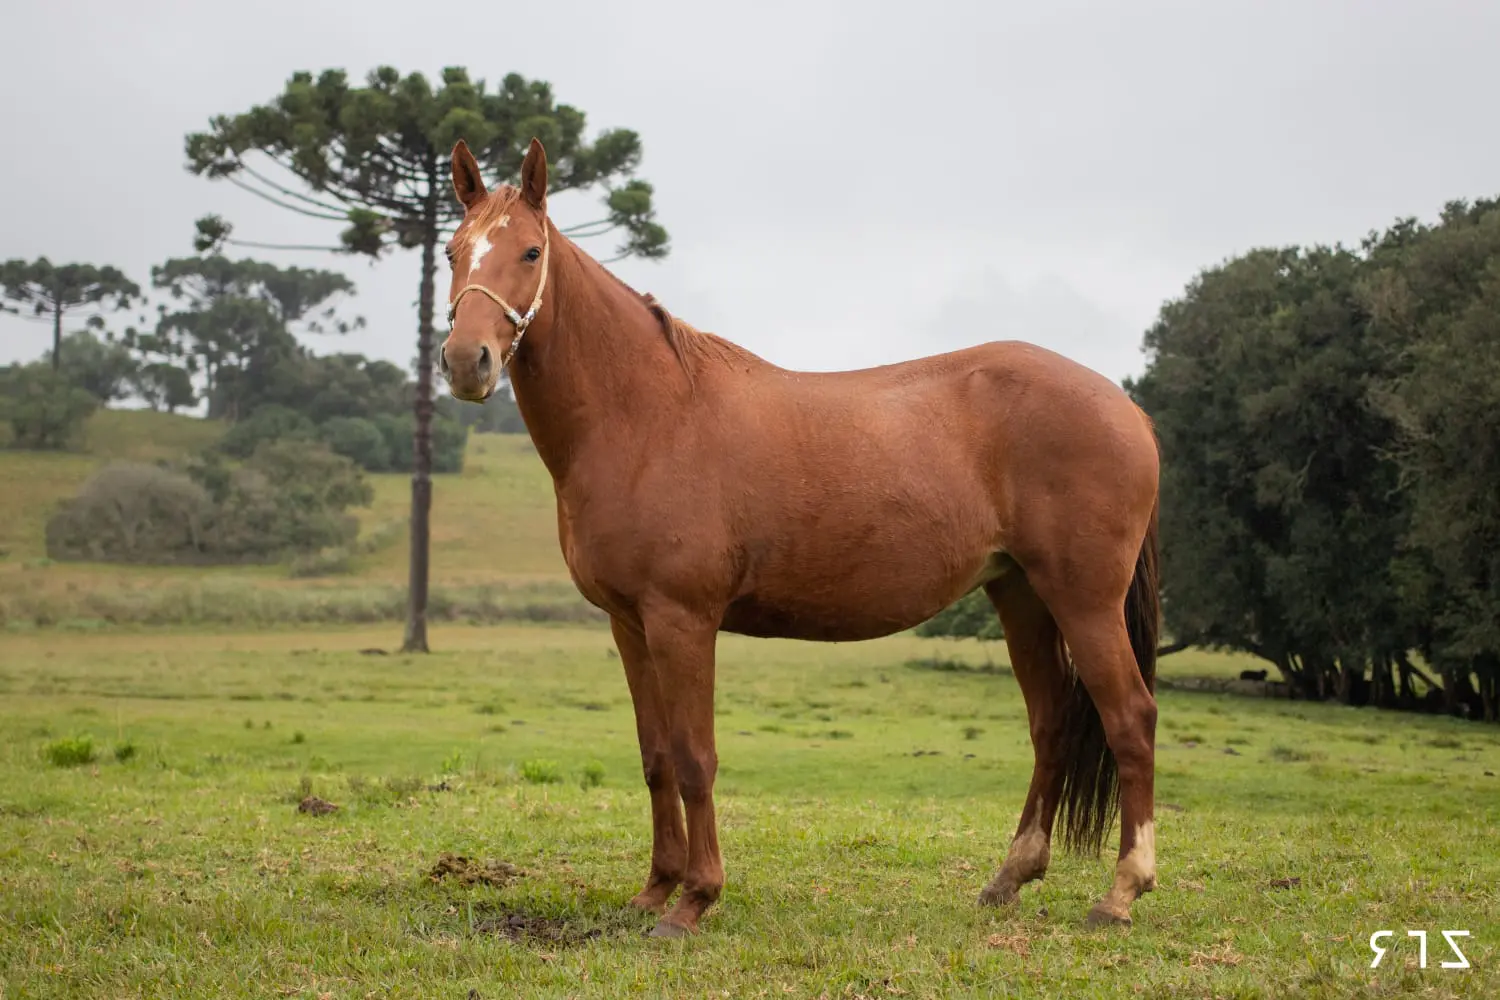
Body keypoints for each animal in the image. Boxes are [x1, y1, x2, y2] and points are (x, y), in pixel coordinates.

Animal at [438, 137, 1162, 938]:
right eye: (453, 251)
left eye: (530, 251)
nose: (466, 362)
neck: (645, 416)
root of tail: (1127, 407)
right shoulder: (629, 624)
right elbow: (655, 757)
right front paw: (654, 889)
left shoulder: (682, 620)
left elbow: (694, 757)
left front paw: (693, 900)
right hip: (1021, 595)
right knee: (1052, 723)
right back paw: (1010, 877)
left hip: (1083, 600)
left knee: (1130, 720)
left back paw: (1122, 893)